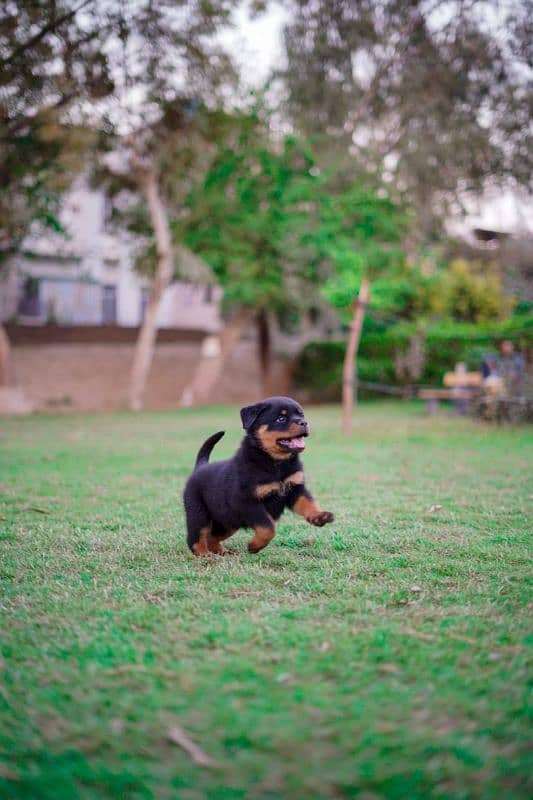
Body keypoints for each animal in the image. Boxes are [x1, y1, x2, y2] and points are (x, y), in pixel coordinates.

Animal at [183, 396, 332, 556]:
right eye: (281, 418)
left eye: (301, 415)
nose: (304, 422)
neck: (276, 462)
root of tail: (200, 466)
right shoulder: (246, 502)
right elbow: (268, 526)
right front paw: (254, 546)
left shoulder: (295, 489)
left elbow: (308, 503)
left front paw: (319, 516)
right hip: (199, 514)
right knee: (196, 537)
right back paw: (204, 554)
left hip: (227, 521)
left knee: (212, 536)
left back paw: (222, 552)